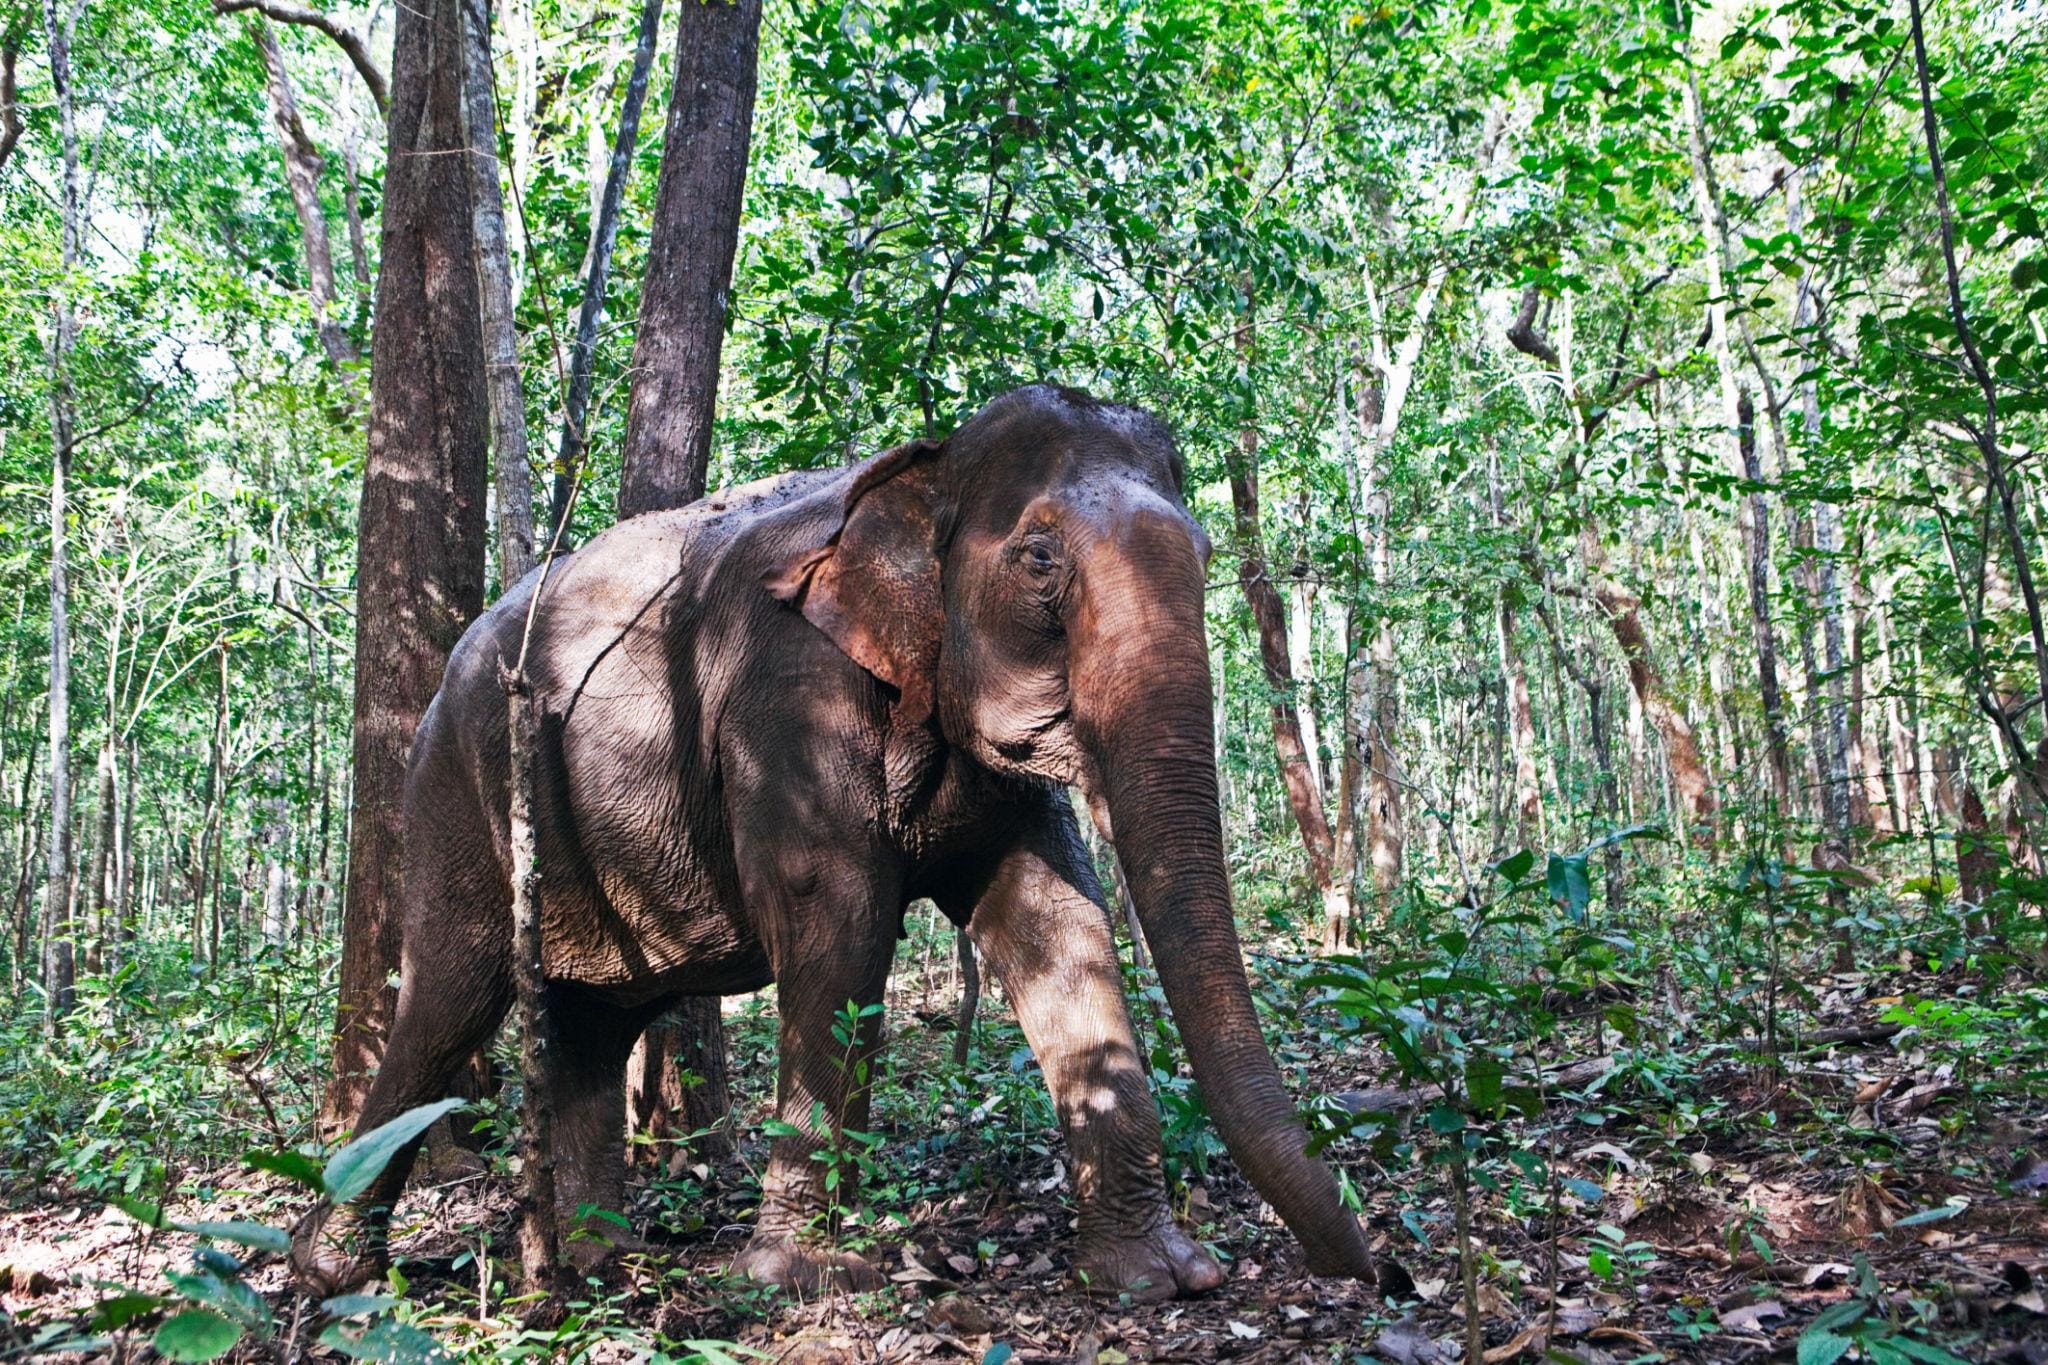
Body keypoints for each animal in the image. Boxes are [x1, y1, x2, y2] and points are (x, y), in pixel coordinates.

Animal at [293, 383, 1381, 1302]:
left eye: (1204, 552)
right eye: (1039, 559)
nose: (1379, 1273)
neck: (921, 469)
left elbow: (1056, 925)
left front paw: (1155, 1277)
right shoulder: (786, 705)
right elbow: (839, 934)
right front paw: (793, 1279)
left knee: (591, 1026)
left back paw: (600, 1267)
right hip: (449, 790)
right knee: (450, 998)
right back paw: (334, 1273)